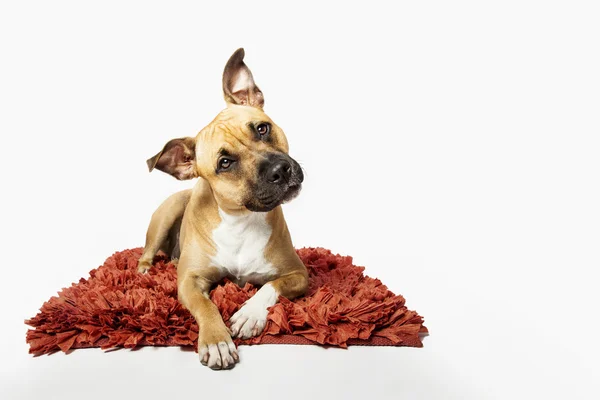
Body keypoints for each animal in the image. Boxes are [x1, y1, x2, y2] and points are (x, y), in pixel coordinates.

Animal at [138, 48, 310, 370]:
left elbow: (271, 286)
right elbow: (206, 305)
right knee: (148, 251)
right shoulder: (189, 282)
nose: (280, 170)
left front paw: (249, 314)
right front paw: (216, 340)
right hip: (166, 214)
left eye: (262, 128)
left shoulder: (298, 274)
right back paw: (145, 269)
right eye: (225, 163)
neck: (242, 219)